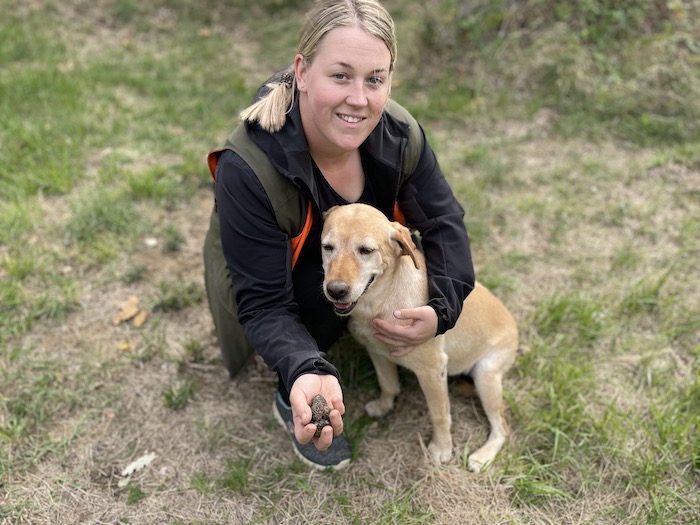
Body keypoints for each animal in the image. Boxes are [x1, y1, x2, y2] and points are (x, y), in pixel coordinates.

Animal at [322, 202, 520, 470]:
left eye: (366, 250)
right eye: (327, 247)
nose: (335, 291)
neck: (380, 300)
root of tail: (514, 325)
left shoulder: (432, 370)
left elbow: (439, 414)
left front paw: (442, 449)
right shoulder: (376, 351)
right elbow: (388, 384)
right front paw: (384, 405)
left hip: (486, 375)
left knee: (502, 427)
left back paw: (482, 457)